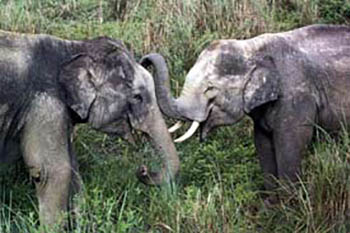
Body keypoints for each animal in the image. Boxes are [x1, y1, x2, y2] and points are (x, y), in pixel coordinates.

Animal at [0, 30, 179, 226]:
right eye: (137, 97)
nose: (143, 169)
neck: (74, 47)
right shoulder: (45, 103)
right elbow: (52, 171)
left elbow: (73, 171)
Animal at [141, 23, 350, 191]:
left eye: (210, 89)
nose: (144, 60)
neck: (252, 48)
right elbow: (263, 143)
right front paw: (271, 206)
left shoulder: (297, 96)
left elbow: (291, 144)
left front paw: (288, 207)